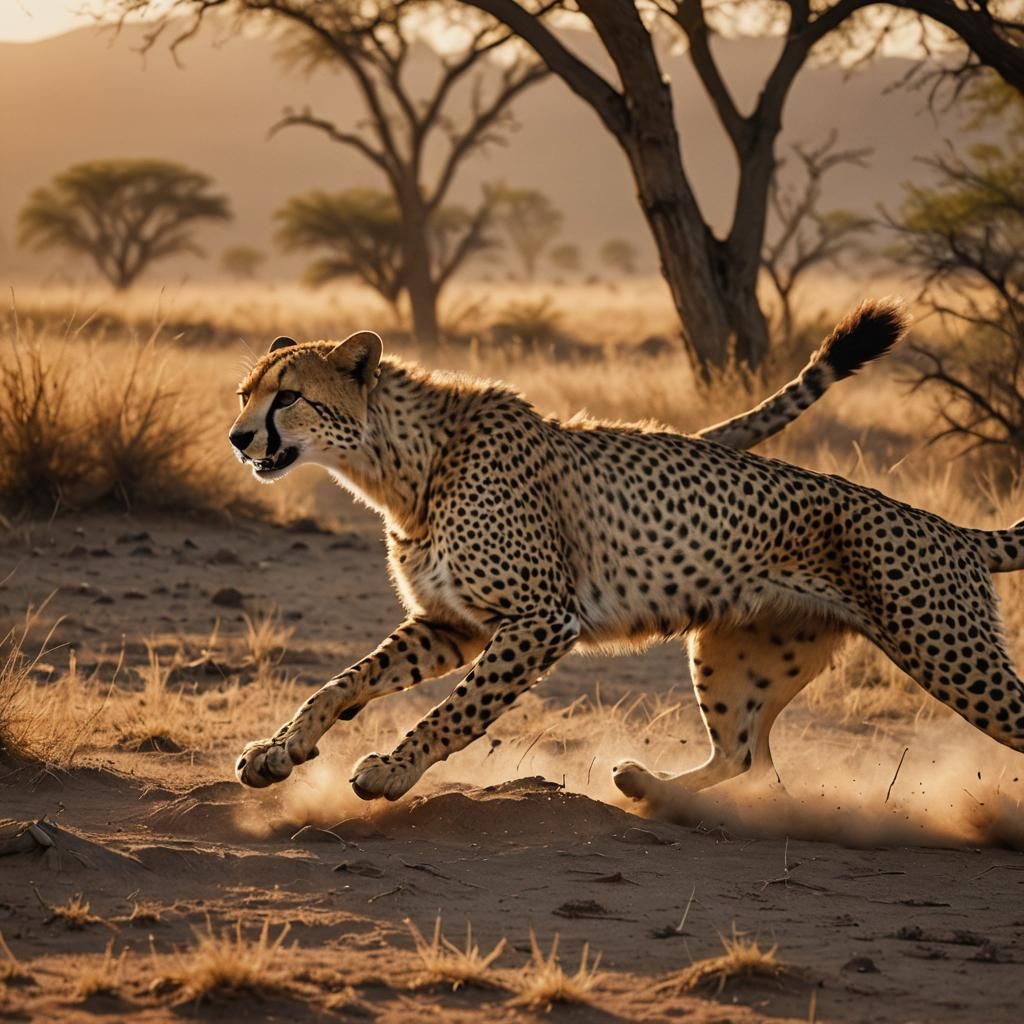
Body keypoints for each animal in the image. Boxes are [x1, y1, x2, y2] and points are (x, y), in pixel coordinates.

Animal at [227, 299, 1024, 808]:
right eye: (244, 394)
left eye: (288, 397)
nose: (238, 438)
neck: (401, 465)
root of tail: (954, 529)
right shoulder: (452, 625)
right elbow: (342, 682)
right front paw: (279, 750)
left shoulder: (540, 620)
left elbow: (457, 710)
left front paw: (392, 771)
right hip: (738, 652)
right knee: (744, 755)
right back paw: (649, 788)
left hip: (950, 652)